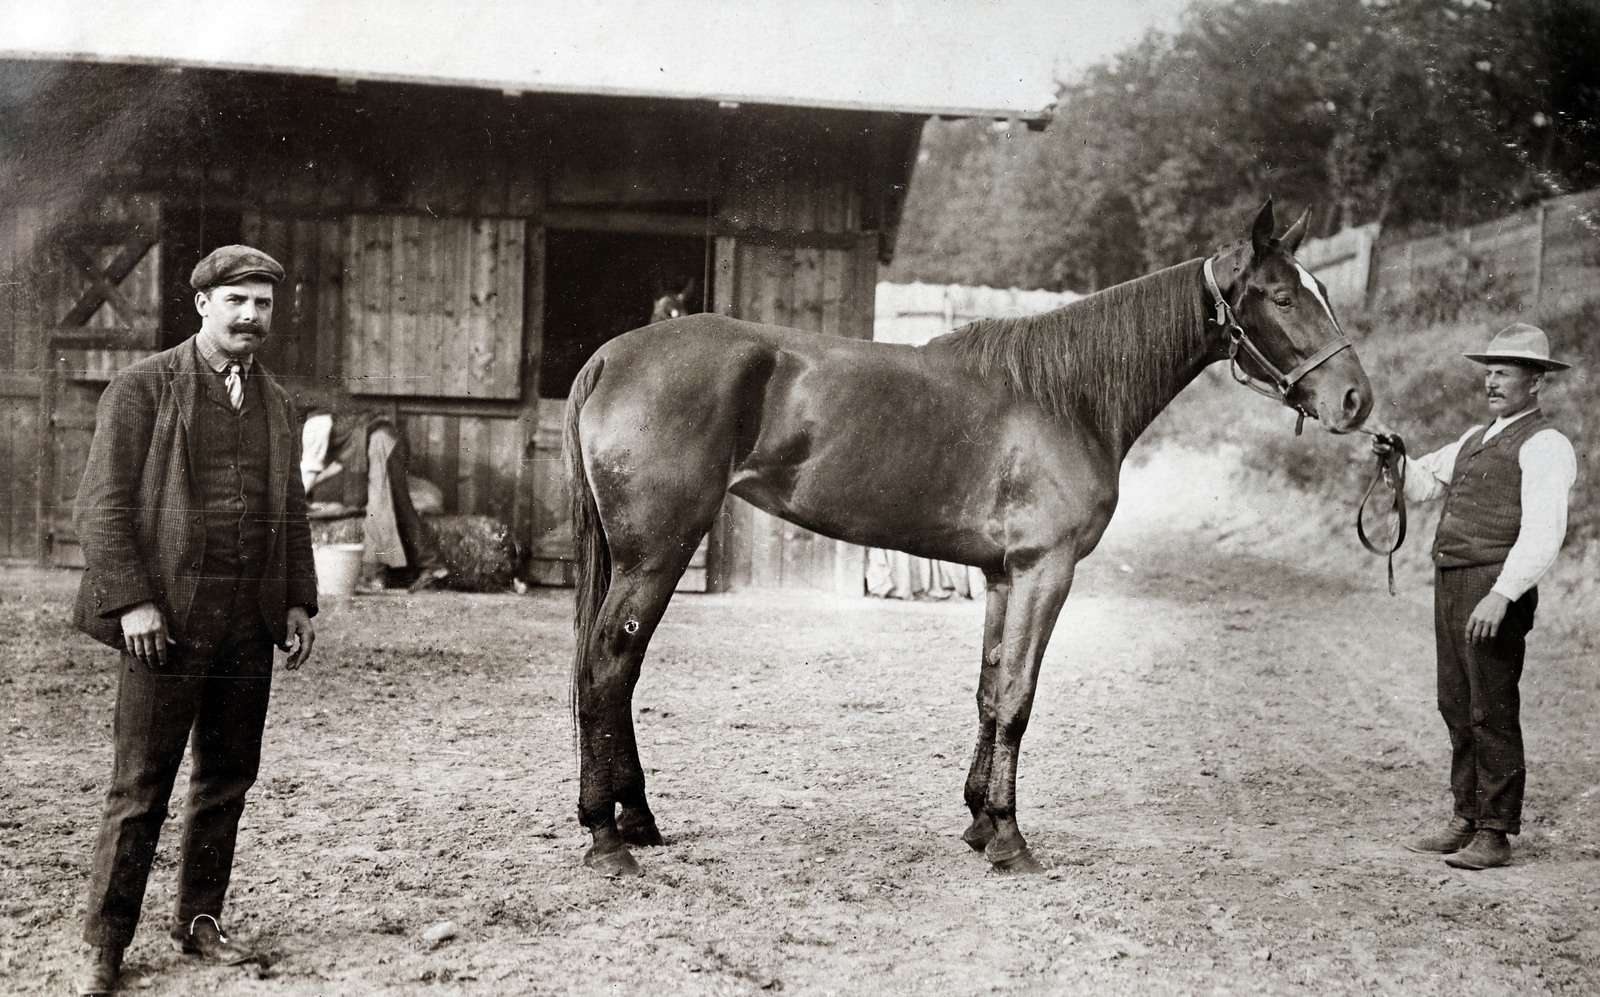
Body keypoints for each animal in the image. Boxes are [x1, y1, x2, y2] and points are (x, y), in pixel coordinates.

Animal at [563, 200, 1376, 870]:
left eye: (1323, 290)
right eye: (1281, 296)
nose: (1354, 400)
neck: (1067, 397)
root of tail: (610, 356)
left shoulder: (1003, 575)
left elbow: (989, 691)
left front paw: (981, 820)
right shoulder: (1047, 570)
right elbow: (1018, 696)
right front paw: (1012, 839)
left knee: (613, 673)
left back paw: (635, 820)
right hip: (655, 555)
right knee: (607, 670)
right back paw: (608, 838)